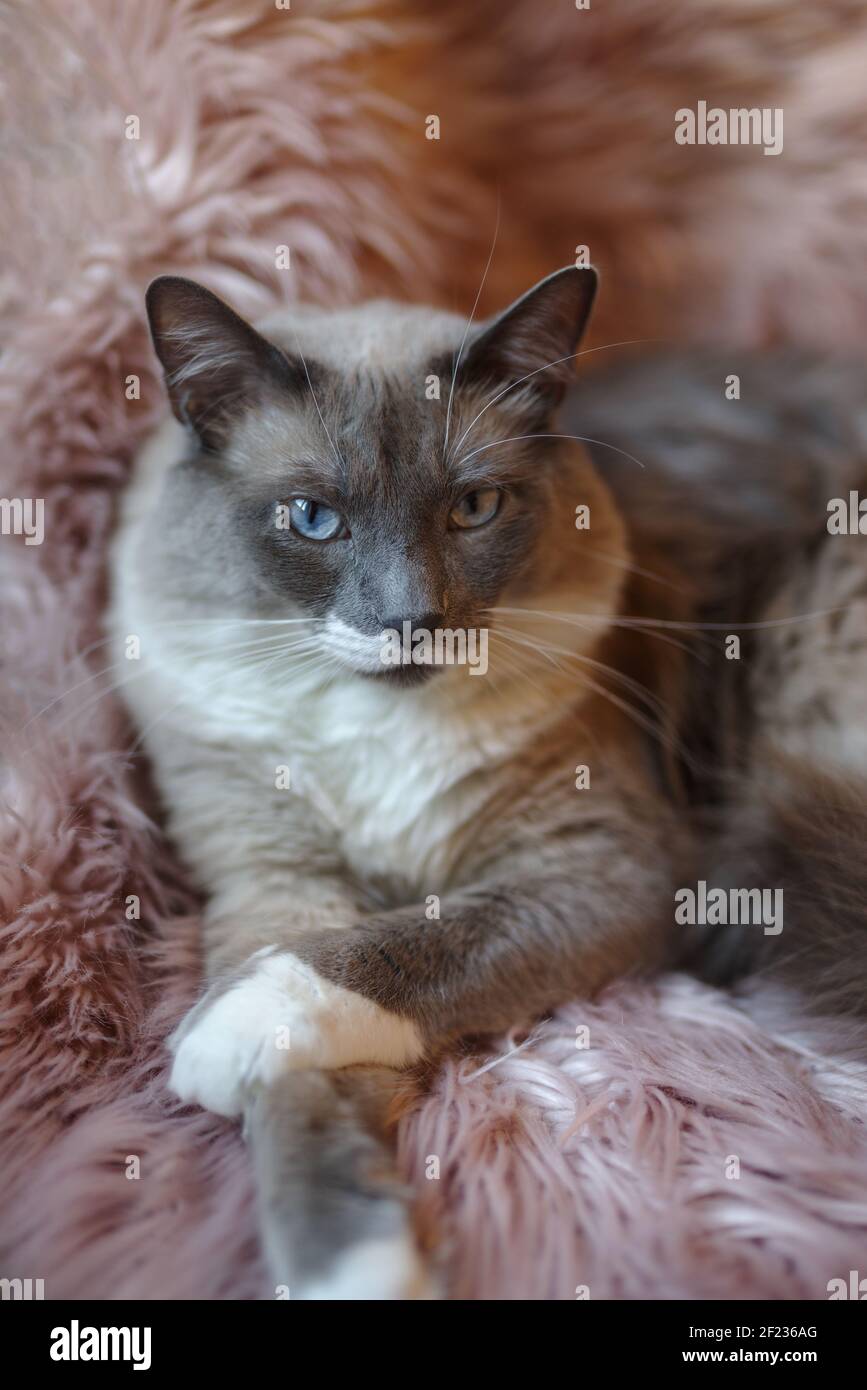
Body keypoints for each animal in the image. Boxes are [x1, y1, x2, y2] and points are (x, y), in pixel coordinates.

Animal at [108, 265, 867, 1295]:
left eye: (472, 509)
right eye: (314, 520)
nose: (411, 621)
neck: (380, 734)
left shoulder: (604, 869)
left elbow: (400, 953)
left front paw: (230, 1028)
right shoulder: (278, 885)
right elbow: (300, 1096)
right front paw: (354, 1267)